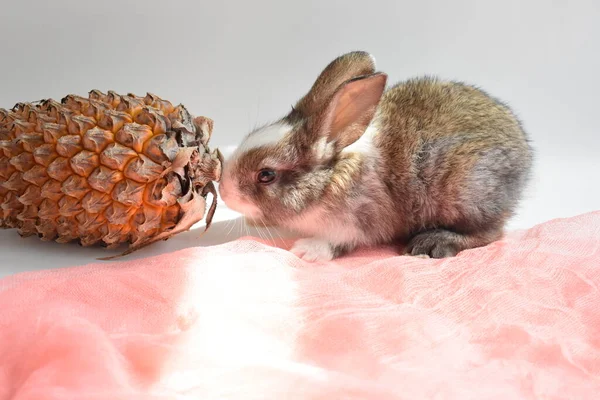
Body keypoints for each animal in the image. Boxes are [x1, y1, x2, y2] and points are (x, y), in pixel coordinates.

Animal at [218, 50, 532, 262]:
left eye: (266, 175)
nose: (223, 191)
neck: (330, 176)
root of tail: (524, 155)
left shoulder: (359, 220)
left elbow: (338, 240)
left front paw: (306, 250)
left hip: (465, 193)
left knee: (490, 233)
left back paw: (432, 243)